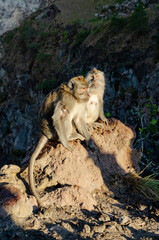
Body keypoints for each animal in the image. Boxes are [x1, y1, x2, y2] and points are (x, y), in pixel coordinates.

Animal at [28, 75, 90, 206]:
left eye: (87, 88)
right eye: (83, 88)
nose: (88, 94)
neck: (73, 95)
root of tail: (44, 132)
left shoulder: (81, 103)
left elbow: (79, 119)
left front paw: (90, 140)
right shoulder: (68, 100)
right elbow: (58, 116)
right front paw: (65, 143)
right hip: (54, 131)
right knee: (64, 115)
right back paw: (69, 137)